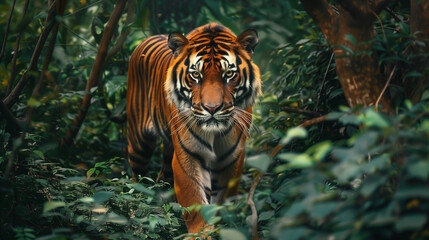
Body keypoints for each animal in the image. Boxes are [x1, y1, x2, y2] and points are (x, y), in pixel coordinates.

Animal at [126, 23, 260, 233]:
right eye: (196, 75)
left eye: (229, 74)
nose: (212, 108)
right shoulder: (187, 154)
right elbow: (194, 200)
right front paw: (200, 233)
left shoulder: (232, 158)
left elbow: (221, 201)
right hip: (139, 141)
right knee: (138, 178)